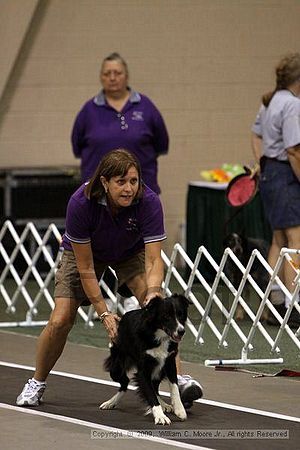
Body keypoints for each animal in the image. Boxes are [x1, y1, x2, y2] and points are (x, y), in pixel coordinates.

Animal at [99, 294, 191, 424]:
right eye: (166, 316)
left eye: (181, 314)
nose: (181, 331)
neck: (160, 336)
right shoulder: (143, 370)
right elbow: (150, 394)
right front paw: (160, 416)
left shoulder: (170, 363)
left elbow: (174, 387)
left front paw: (180, 410)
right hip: (116, 368)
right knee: (125, 383)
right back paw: (110, 402)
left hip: (159, 371)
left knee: (154, 387)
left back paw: (164, 405)